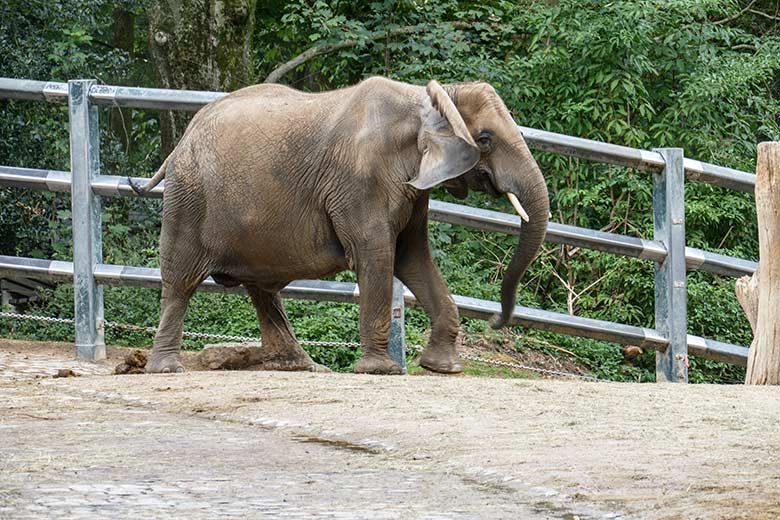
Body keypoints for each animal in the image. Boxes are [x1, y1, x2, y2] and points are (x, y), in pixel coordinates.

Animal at [133, 76, 548, 374]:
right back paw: (166, 369)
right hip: (189, 199)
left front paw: (443, 368)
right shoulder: (359, 182)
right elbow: (376, 254)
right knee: (181, 281)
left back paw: (301, 366)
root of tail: (183, 138)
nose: (496, 321)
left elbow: (412, 257)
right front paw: (381, 370)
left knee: (261, 288)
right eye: (485, 139)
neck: (427, 101)